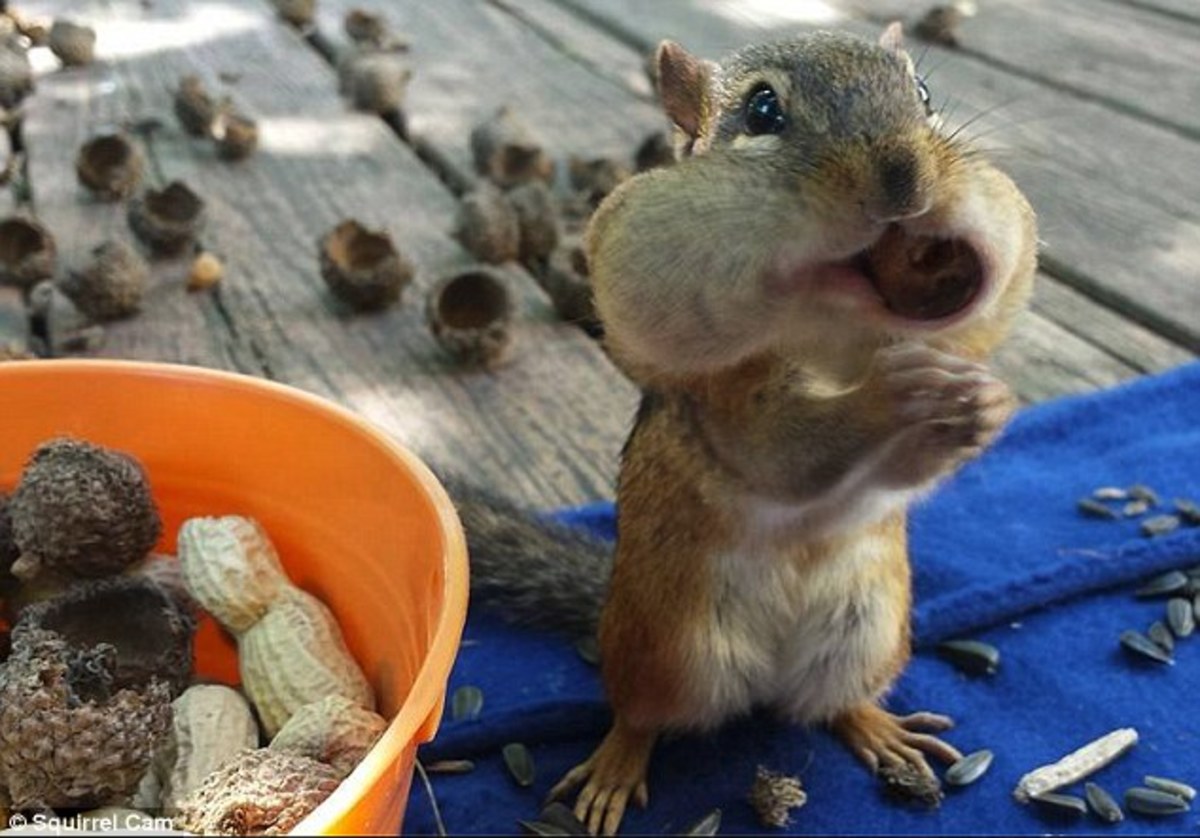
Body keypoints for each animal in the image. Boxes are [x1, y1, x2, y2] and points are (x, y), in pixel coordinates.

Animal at [456, 22, 1037, 835]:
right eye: (764, 110)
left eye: (922, 94)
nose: (905, 181)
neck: (837, 336)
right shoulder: (724, 398)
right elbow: (784, 448)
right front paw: (890, 393)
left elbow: (903, 469)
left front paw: (985, 401)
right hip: (671, 648)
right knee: (640, 714)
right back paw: (615, 765)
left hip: (869, 632)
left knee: (831, 704)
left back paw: (877, 729)